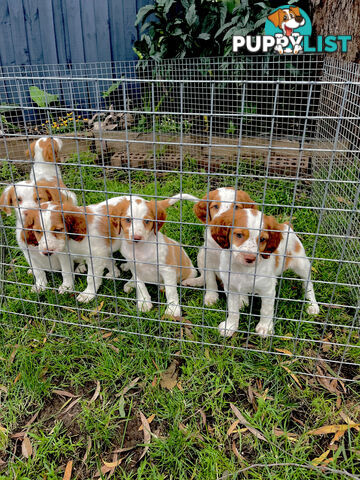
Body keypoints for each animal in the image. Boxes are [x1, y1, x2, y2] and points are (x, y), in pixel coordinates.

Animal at [210, 209, 320, 338]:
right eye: (239, 235)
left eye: (262, 239)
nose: (250, 258)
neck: (243, 269)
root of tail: (285, 225)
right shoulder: (230, 287)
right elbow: (233, 309)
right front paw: (230, 326)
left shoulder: (268, 290)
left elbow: (266, 310)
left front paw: (265, 328)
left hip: (301, 264)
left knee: (308, 284)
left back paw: (312, 305)